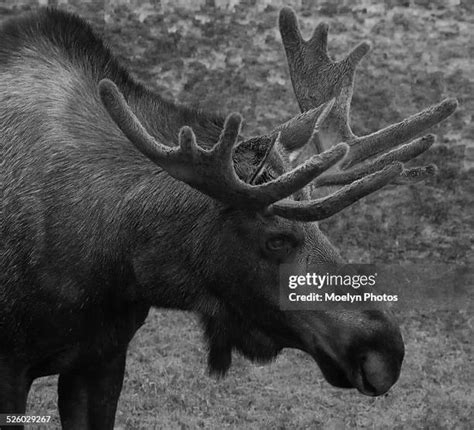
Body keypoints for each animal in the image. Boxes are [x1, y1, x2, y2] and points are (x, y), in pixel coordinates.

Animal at [1, 6, 458, 430]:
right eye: (276, 239)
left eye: (320, 228)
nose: (387, 351)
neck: (114, 265)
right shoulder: (12, 368)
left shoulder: (104, 356)